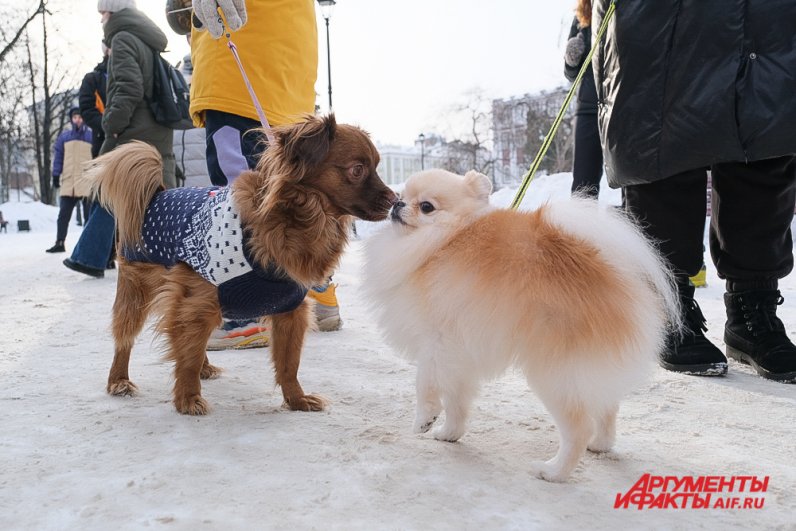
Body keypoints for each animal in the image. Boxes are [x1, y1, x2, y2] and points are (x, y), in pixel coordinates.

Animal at [91, 115, 396, 416]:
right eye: (357, 170)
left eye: (376, 167)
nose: (396, 201)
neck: (297, 220)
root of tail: (157, 194)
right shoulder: (197, 301)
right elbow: (187, 358)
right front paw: (188, 399)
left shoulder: (289, 309)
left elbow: (289, 364)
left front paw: (297, 400)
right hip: (137, 294)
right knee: (126, 340)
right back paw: (119, 380)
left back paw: (205, 368)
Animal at [364, 169, 680, 482]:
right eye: (402, 195)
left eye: (426, 206)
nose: (397, 203)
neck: (442, 240)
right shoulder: (460, 353)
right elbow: (457, 400)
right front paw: (449, 433)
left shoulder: (437, 341)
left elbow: (425, 384)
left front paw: (424, 420)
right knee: (607, 407)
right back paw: (599, 445)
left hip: (555, 374)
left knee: (579, 428)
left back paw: (553, 471)